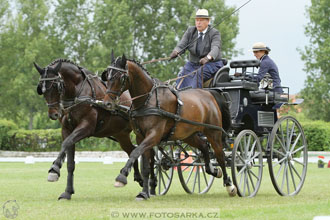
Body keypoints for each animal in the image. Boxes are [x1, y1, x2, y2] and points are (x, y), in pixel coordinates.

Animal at [33, 58, 143, 199]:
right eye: (41, 88)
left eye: (55, 86)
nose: (54, 114)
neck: (76, 94)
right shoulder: (66, 129)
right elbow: (70, 162)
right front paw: (67, 192)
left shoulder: (86, 127)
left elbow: (66, 143)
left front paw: (54, 169)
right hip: (121, 134)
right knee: (132, 150)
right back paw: (137, 177)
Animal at [103, 54, 237, 199]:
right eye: (107, 76)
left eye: (120, 77)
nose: (107, 103)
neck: (148, 100)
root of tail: (209, 94)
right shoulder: (141, 137)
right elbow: (145, 165)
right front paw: (144, 193)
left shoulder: (154, 135)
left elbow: (134, 152)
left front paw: (121, 177)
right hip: (189, 135)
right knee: (204, 147)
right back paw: (213, 170)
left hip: (213, 133)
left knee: (220, 156)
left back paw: (229, 185)